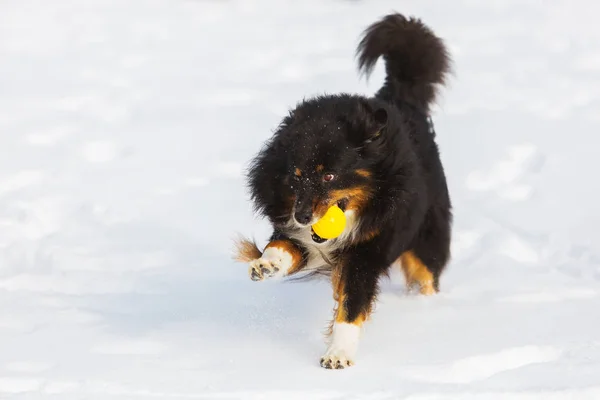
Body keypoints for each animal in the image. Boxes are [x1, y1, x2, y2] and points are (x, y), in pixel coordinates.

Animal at [237, 11, 452, 368]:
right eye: (296, 176)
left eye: (329, 176)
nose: (303, 215)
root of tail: (401, 98)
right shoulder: (303, 236)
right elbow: (283, 246)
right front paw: (265, 265)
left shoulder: (366, 252)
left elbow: (352, 306)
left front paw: (338, 354)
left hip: (426, 243)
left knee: (426, 277)